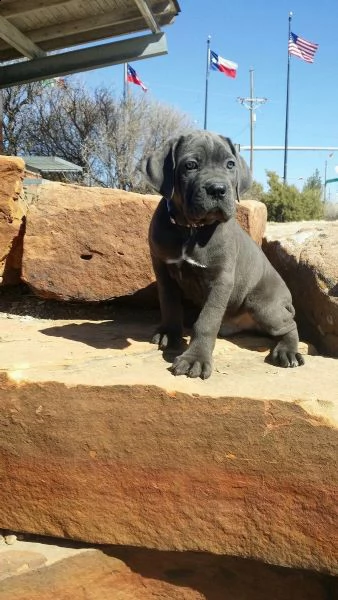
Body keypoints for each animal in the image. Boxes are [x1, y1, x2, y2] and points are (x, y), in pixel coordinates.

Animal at [140, 130, 304, 380]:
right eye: (190, 165)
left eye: (230, 164)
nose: (218, 189)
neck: (191, 229)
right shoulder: (163, 270)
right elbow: (169, 304)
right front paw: (170, 333)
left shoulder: (220, 280)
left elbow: (206, 321)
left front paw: (195, 358)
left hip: (264, 305)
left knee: (290, 326)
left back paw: (288, 351)